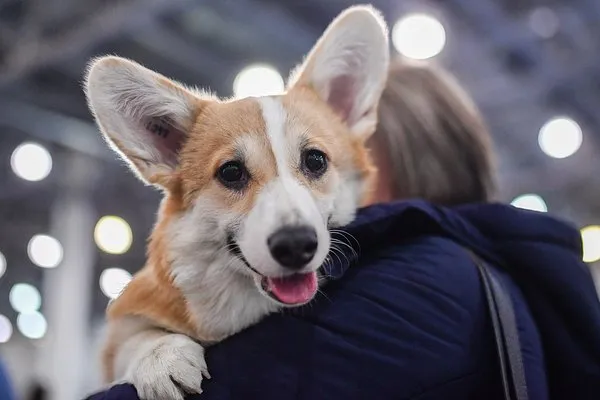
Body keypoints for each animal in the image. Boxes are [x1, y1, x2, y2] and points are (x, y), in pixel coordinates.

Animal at [85, 3, 390, 400]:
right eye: (231, 172)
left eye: (316, 160)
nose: (295, 246)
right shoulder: (124, 320)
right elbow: (133, 337)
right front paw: (161, 359)